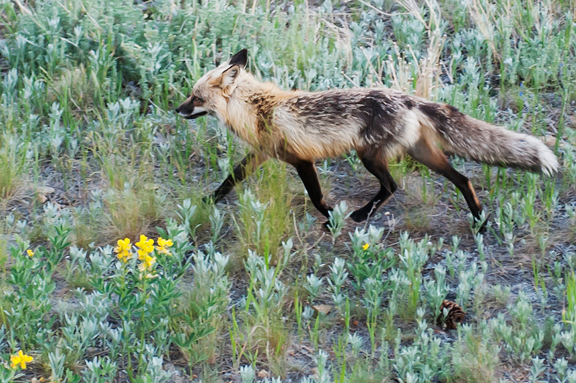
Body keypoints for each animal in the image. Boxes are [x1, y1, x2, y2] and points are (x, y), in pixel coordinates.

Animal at [176, 49, 560, 226]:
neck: (259, 109)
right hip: (422, 155)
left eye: (195, 98)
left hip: (370, 156)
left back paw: (361, 215)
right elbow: (230, 179)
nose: (176, 110)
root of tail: (408, 98)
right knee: (463, 178)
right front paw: (208, 201)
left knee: (392, 186)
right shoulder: (261, 155)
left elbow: (316, 196)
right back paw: (479, 220)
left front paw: (331, 218)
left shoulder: (301, 159)